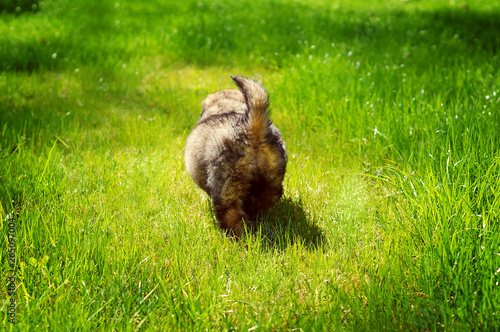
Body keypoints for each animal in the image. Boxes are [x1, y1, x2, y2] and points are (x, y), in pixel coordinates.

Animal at [185, 75, 288, 237]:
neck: (227, 106)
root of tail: (251, 130)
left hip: (227, 183)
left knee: (231, 213)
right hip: (273, 172)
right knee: (270, 195)